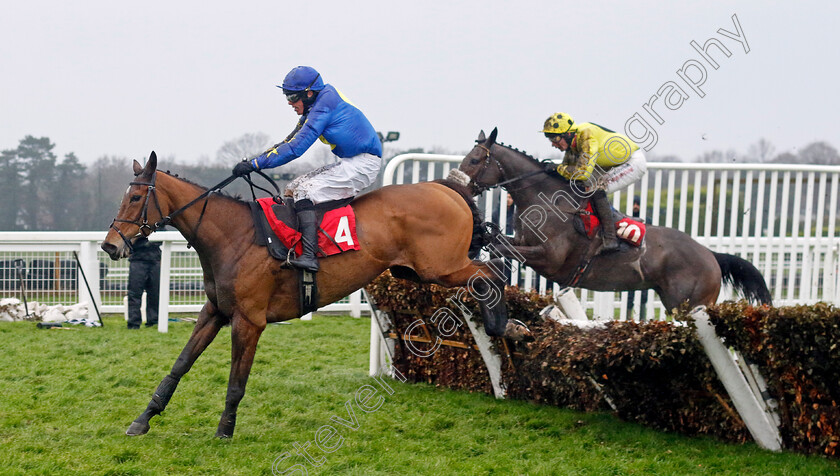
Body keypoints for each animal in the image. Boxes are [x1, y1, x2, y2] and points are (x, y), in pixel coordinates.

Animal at [102, 152, 516, 438]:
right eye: (124, 196)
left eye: (136, 198)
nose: (109, 246)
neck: (235, 236)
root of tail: (446, 189)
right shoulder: (214, 312)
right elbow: (179, 365)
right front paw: (143, 419)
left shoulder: (248, 321)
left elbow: (236, 383)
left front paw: (224, 429)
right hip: (414, 270)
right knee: (489, 271)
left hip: (440, 266)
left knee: (491, 272)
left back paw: (501, 324)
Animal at [456, 128, 772, 310]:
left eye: (474, 160)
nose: (456, 184)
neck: (545, 199)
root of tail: (711, 255)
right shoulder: (522, 240)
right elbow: (498, 243)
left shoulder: (550, 258)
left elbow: (501, 248)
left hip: (691, 306)